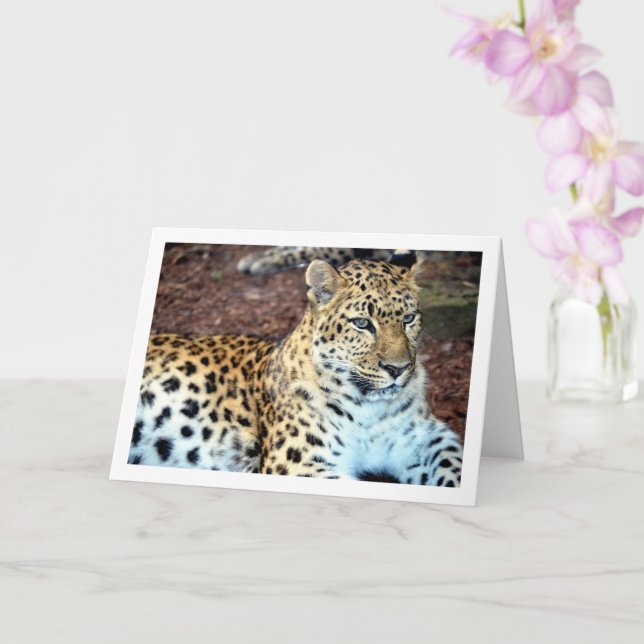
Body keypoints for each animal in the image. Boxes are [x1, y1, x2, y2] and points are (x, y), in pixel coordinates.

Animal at [128, 253, 463, 486]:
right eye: (362, 323)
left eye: (408, 318)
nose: (398, 369)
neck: (369, 410)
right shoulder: (299, 464)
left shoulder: (427, 439)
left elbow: (454, 468)